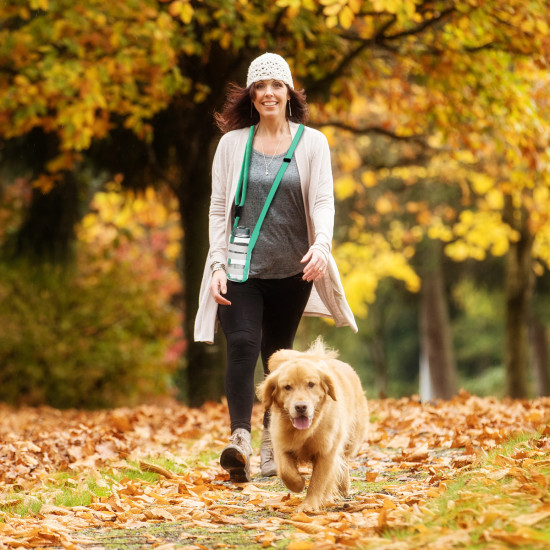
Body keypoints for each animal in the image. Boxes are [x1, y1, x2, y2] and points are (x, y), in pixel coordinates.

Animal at [260, 338, 370, 516]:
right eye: (287, 387)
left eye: (311, 384)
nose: (300, 407)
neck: (306, 431)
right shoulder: (281, 444)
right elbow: (285, 471)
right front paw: (298, 483)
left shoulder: (327, 451)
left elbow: (318, 482)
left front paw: (308, 505)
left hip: (351, 438)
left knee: (344, 459)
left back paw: (343, 486)